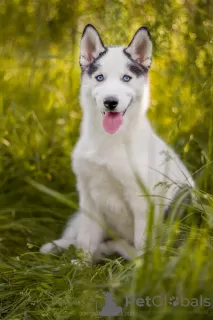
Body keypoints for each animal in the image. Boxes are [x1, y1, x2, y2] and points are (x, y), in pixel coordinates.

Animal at [40, 24, 195, 260]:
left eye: (126, 78)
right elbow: (85, 242)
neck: (110, 141)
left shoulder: (142, 203)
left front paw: (140, 267)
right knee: (76, 236)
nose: (110, 102)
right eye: (100, 77)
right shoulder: (89, 198)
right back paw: (60, 246)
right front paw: (79, 266)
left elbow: (141, 246)